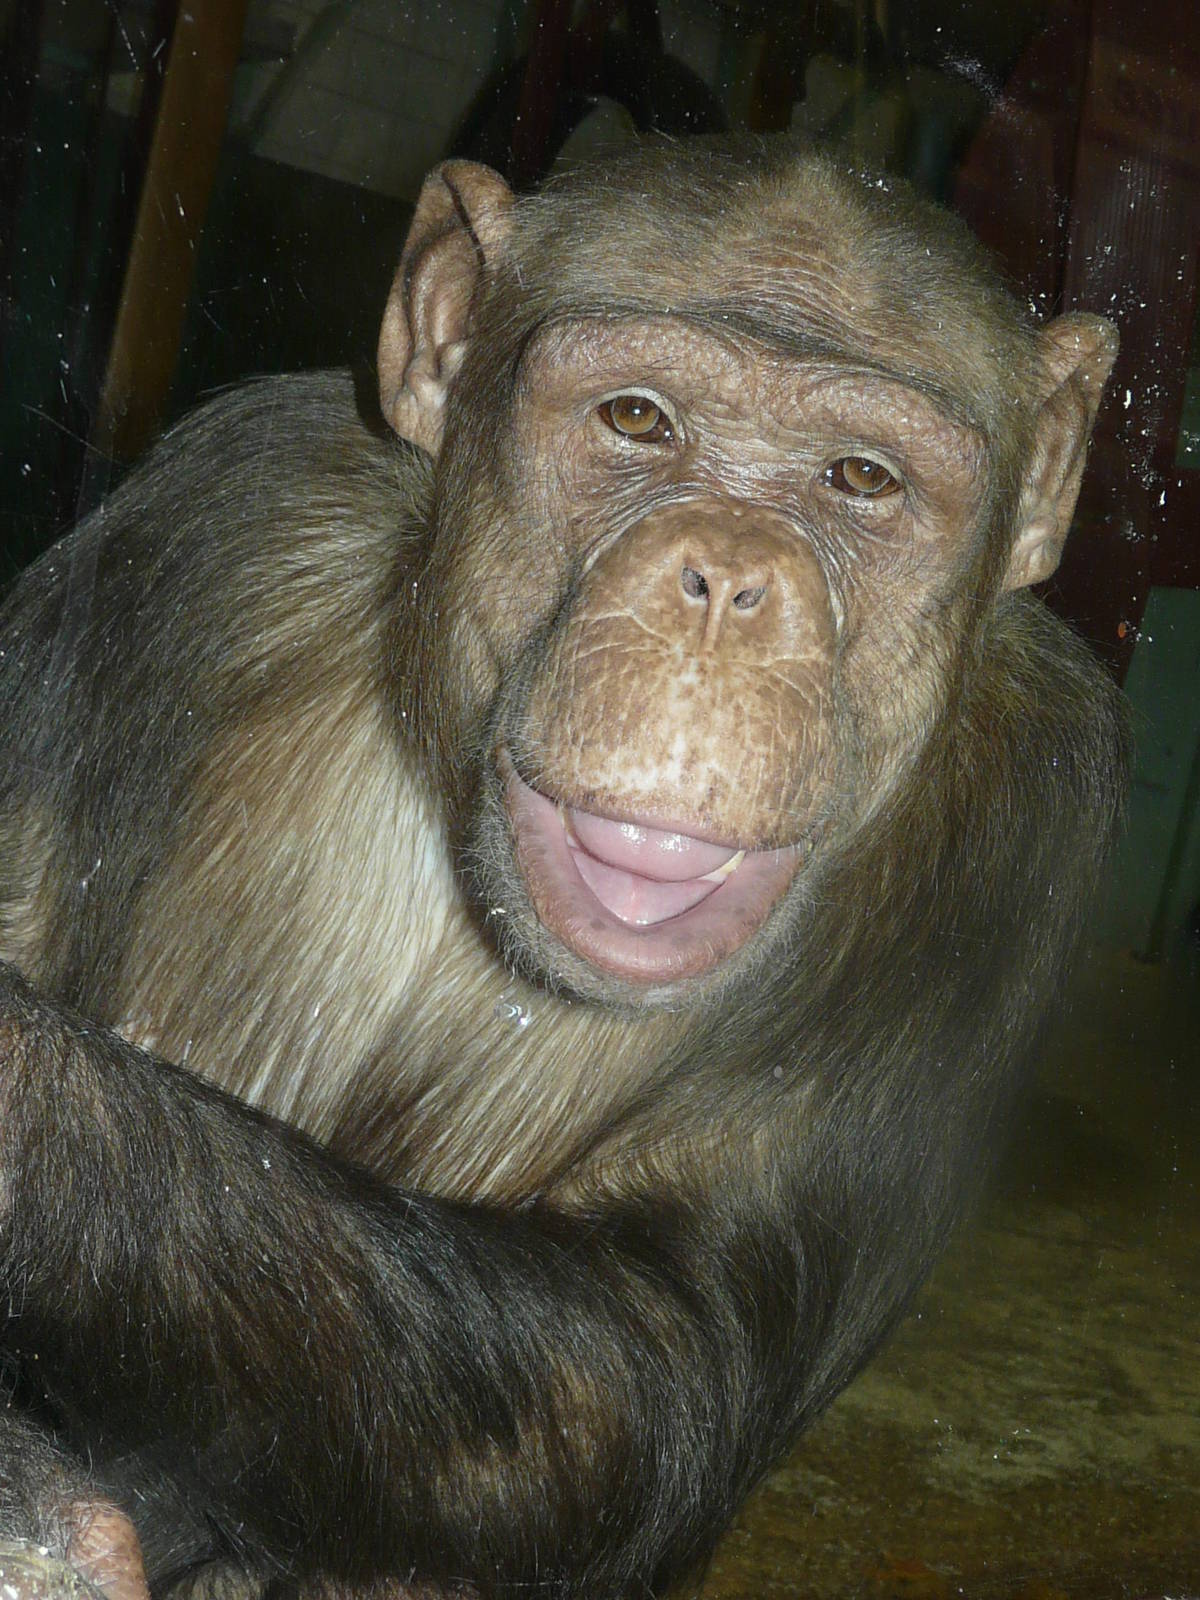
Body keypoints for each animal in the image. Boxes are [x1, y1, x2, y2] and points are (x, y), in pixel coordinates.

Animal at [0, 136, 1126, 1600]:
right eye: (637, 420)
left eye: (861, 481)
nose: (728, 577)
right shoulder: (209, 522)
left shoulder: (1015, 832)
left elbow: (642, 1364)